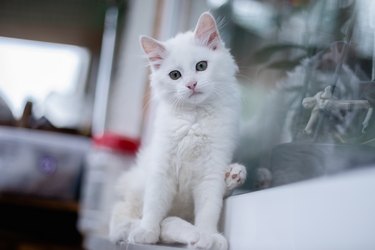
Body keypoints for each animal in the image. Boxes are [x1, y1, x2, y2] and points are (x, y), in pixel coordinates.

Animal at [109, 12, 247, 250]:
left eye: (201, 66)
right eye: (175, 75)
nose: (191, 84)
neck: (193, 120)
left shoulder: (212, 170)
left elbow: (209, 210)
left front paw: (208, 234)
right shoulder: (161, 167)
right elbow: (154, 206)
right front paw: (147, 231)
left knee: (170, 223)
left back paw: (233, 176)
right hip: (134, 190)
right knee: (145, 222)